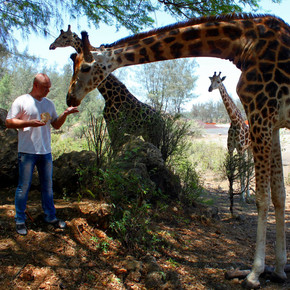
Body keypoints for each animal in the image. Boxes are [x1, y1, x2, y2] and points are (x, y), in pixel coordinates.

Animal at [208, 72, 251, 204]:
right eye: (211, 80)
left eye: (219, 81)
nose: (209, 89)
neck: (235, 122)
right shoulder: (231, 149)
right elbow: (231, 169)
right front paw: (231, 192)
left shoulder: (240, 149)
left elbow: (242, 171)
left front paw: (242, 196)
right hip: (245, 150)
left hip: (250, 149)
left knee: (249, 168)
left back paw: (248, 195)